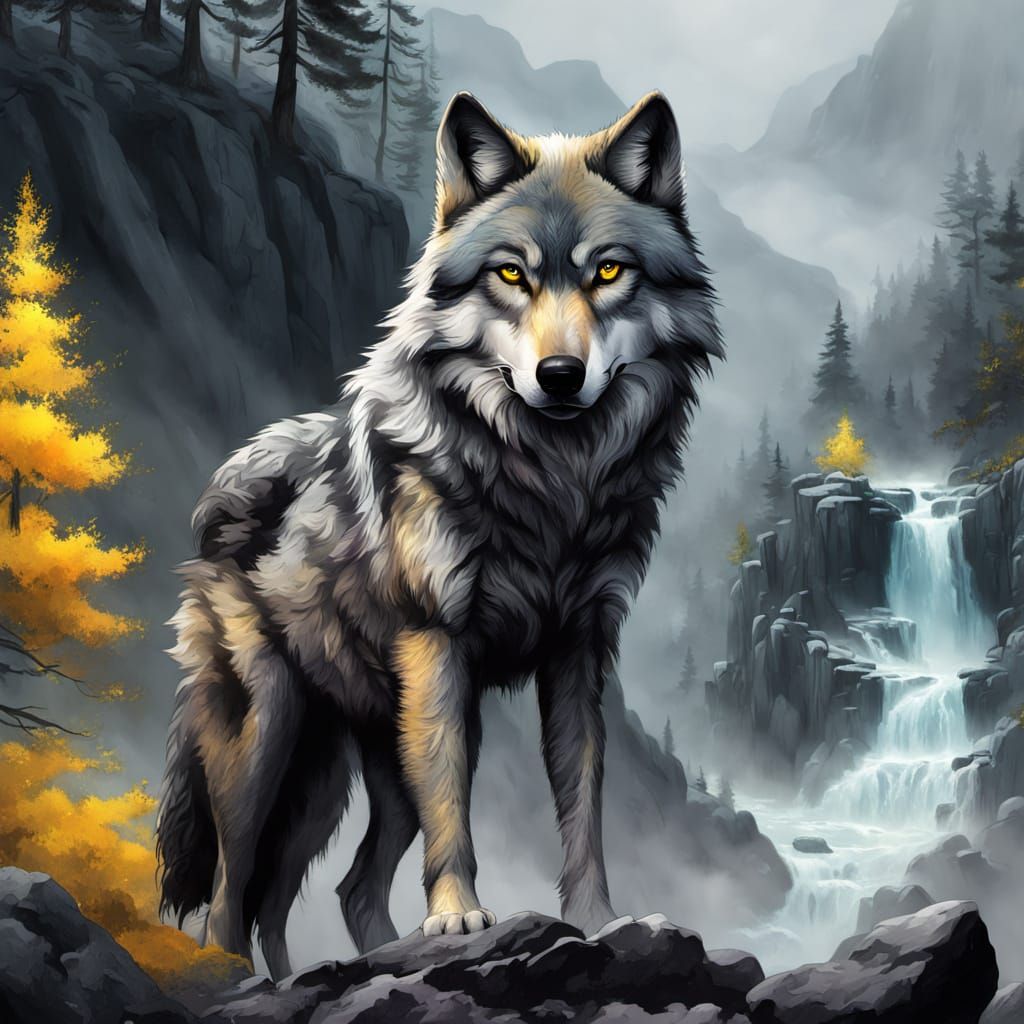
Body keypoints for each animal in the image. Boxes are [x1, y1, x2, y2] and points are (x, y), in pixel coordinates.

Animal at [156, 89, 721, 980]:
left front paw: (599, 922)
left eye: (608, 271)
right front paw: (457, 916)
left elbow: (584, 813)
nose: (560, 376)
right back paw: (235, 976)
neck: (549, 486)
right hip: (267, 743)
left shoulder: (578, 655)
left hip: (341, 778)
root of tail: (218, 503)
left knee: (328, 891)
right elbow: (454, 809)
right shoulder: (438, 645)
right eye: (511, 274)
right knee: (227, 892)